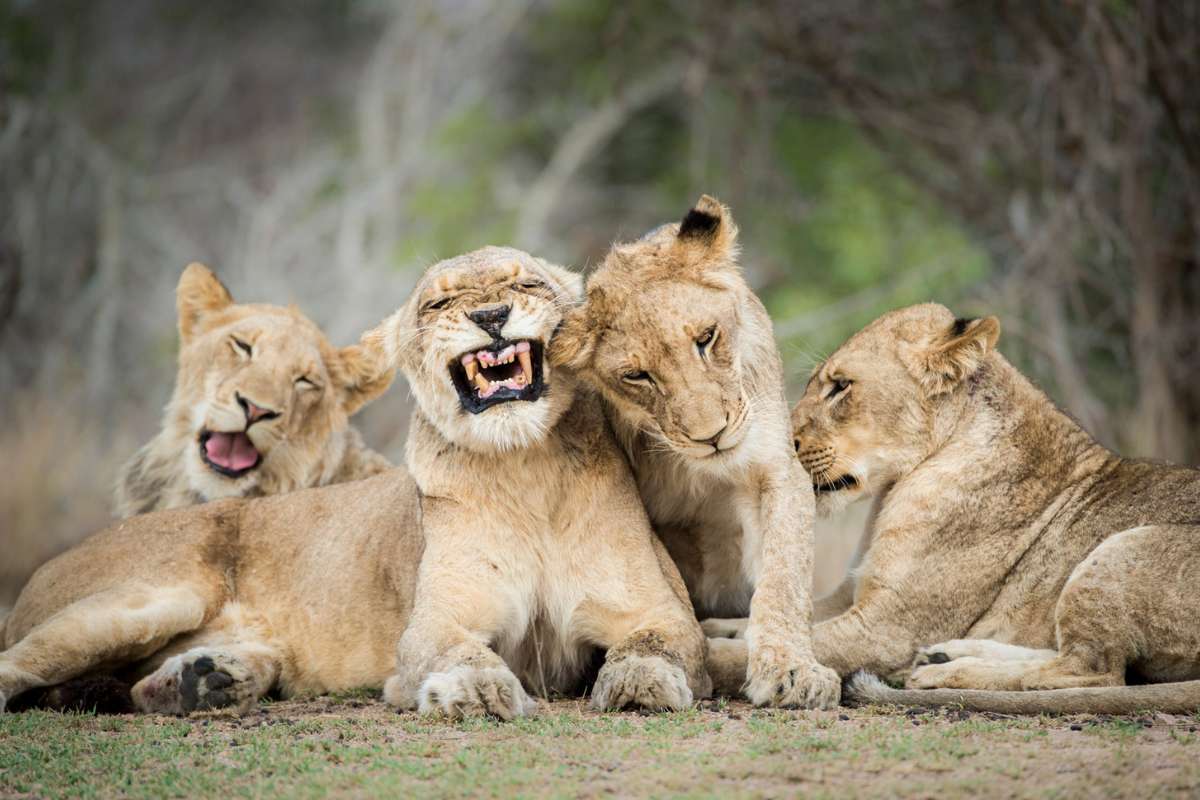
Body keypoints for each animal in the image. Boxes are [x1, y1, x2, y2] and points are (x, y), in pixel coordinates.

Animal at [552, 195, 840, 709]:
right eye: (637, 375)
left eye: (706, 337)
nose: (713, 435)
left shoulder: (777, 469)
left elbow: (784, 576)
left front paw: (790, 670)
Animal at [784, 302, 1200, 714]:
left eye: (841, 386)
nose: (784, 442)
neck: (895, 488)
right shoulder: (850, 593)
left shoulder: (887, 629)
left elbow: (787, 642)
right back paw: (944, 655)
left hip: (1122, 547)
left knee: (1090, 674)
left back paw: (940, 673)